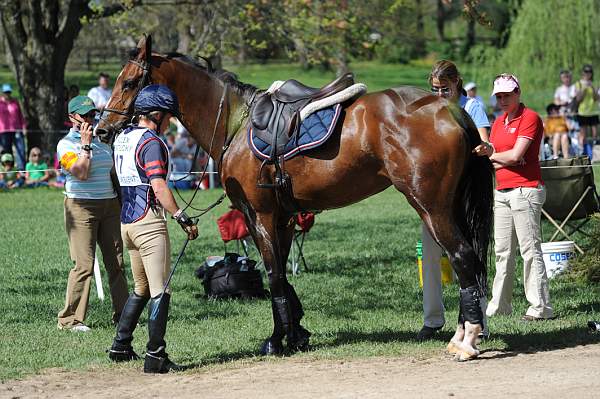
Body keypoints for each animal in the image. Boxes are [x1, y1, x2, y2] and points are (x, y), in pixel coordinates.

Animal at [97, 36, 492, 362]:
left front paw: (277, 340)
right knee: (468, 259)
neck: (236, 124)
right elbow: (284, 276)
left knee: (462, 256)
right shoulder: (284, 217)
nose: (102, 129)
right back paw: (463, 333)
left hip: (431, 207)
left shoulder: (259, 215)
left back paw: (467, 340)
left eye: (129, 82)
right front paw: (296, 332)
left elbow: (273, 274)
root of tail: (448, 109)